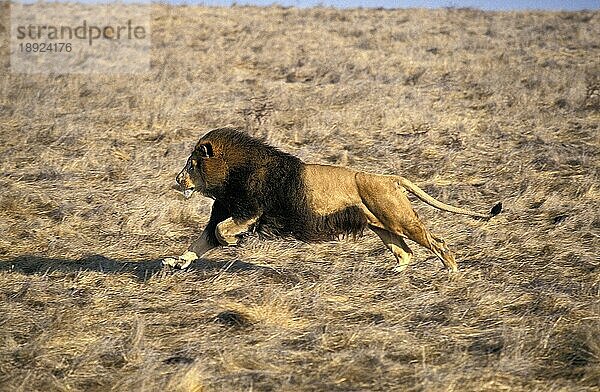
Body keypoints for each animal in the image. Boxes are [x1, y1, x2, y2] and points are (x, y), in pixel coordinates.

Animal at [164, 127, 502, 272]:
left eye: (192, 164)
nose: (178, 180)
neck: (228, 178)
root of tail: (389, 177)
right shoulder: (223, 212)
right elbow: (199, 242)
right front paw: (176, 261)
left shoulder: (250, 211)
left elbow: (221, 231)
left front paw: (234, 242)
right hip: (382, 226)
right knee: (405, 254)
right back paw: (393, 275)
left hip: (400, 220)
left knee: (437, 242)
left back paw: (452, 273)